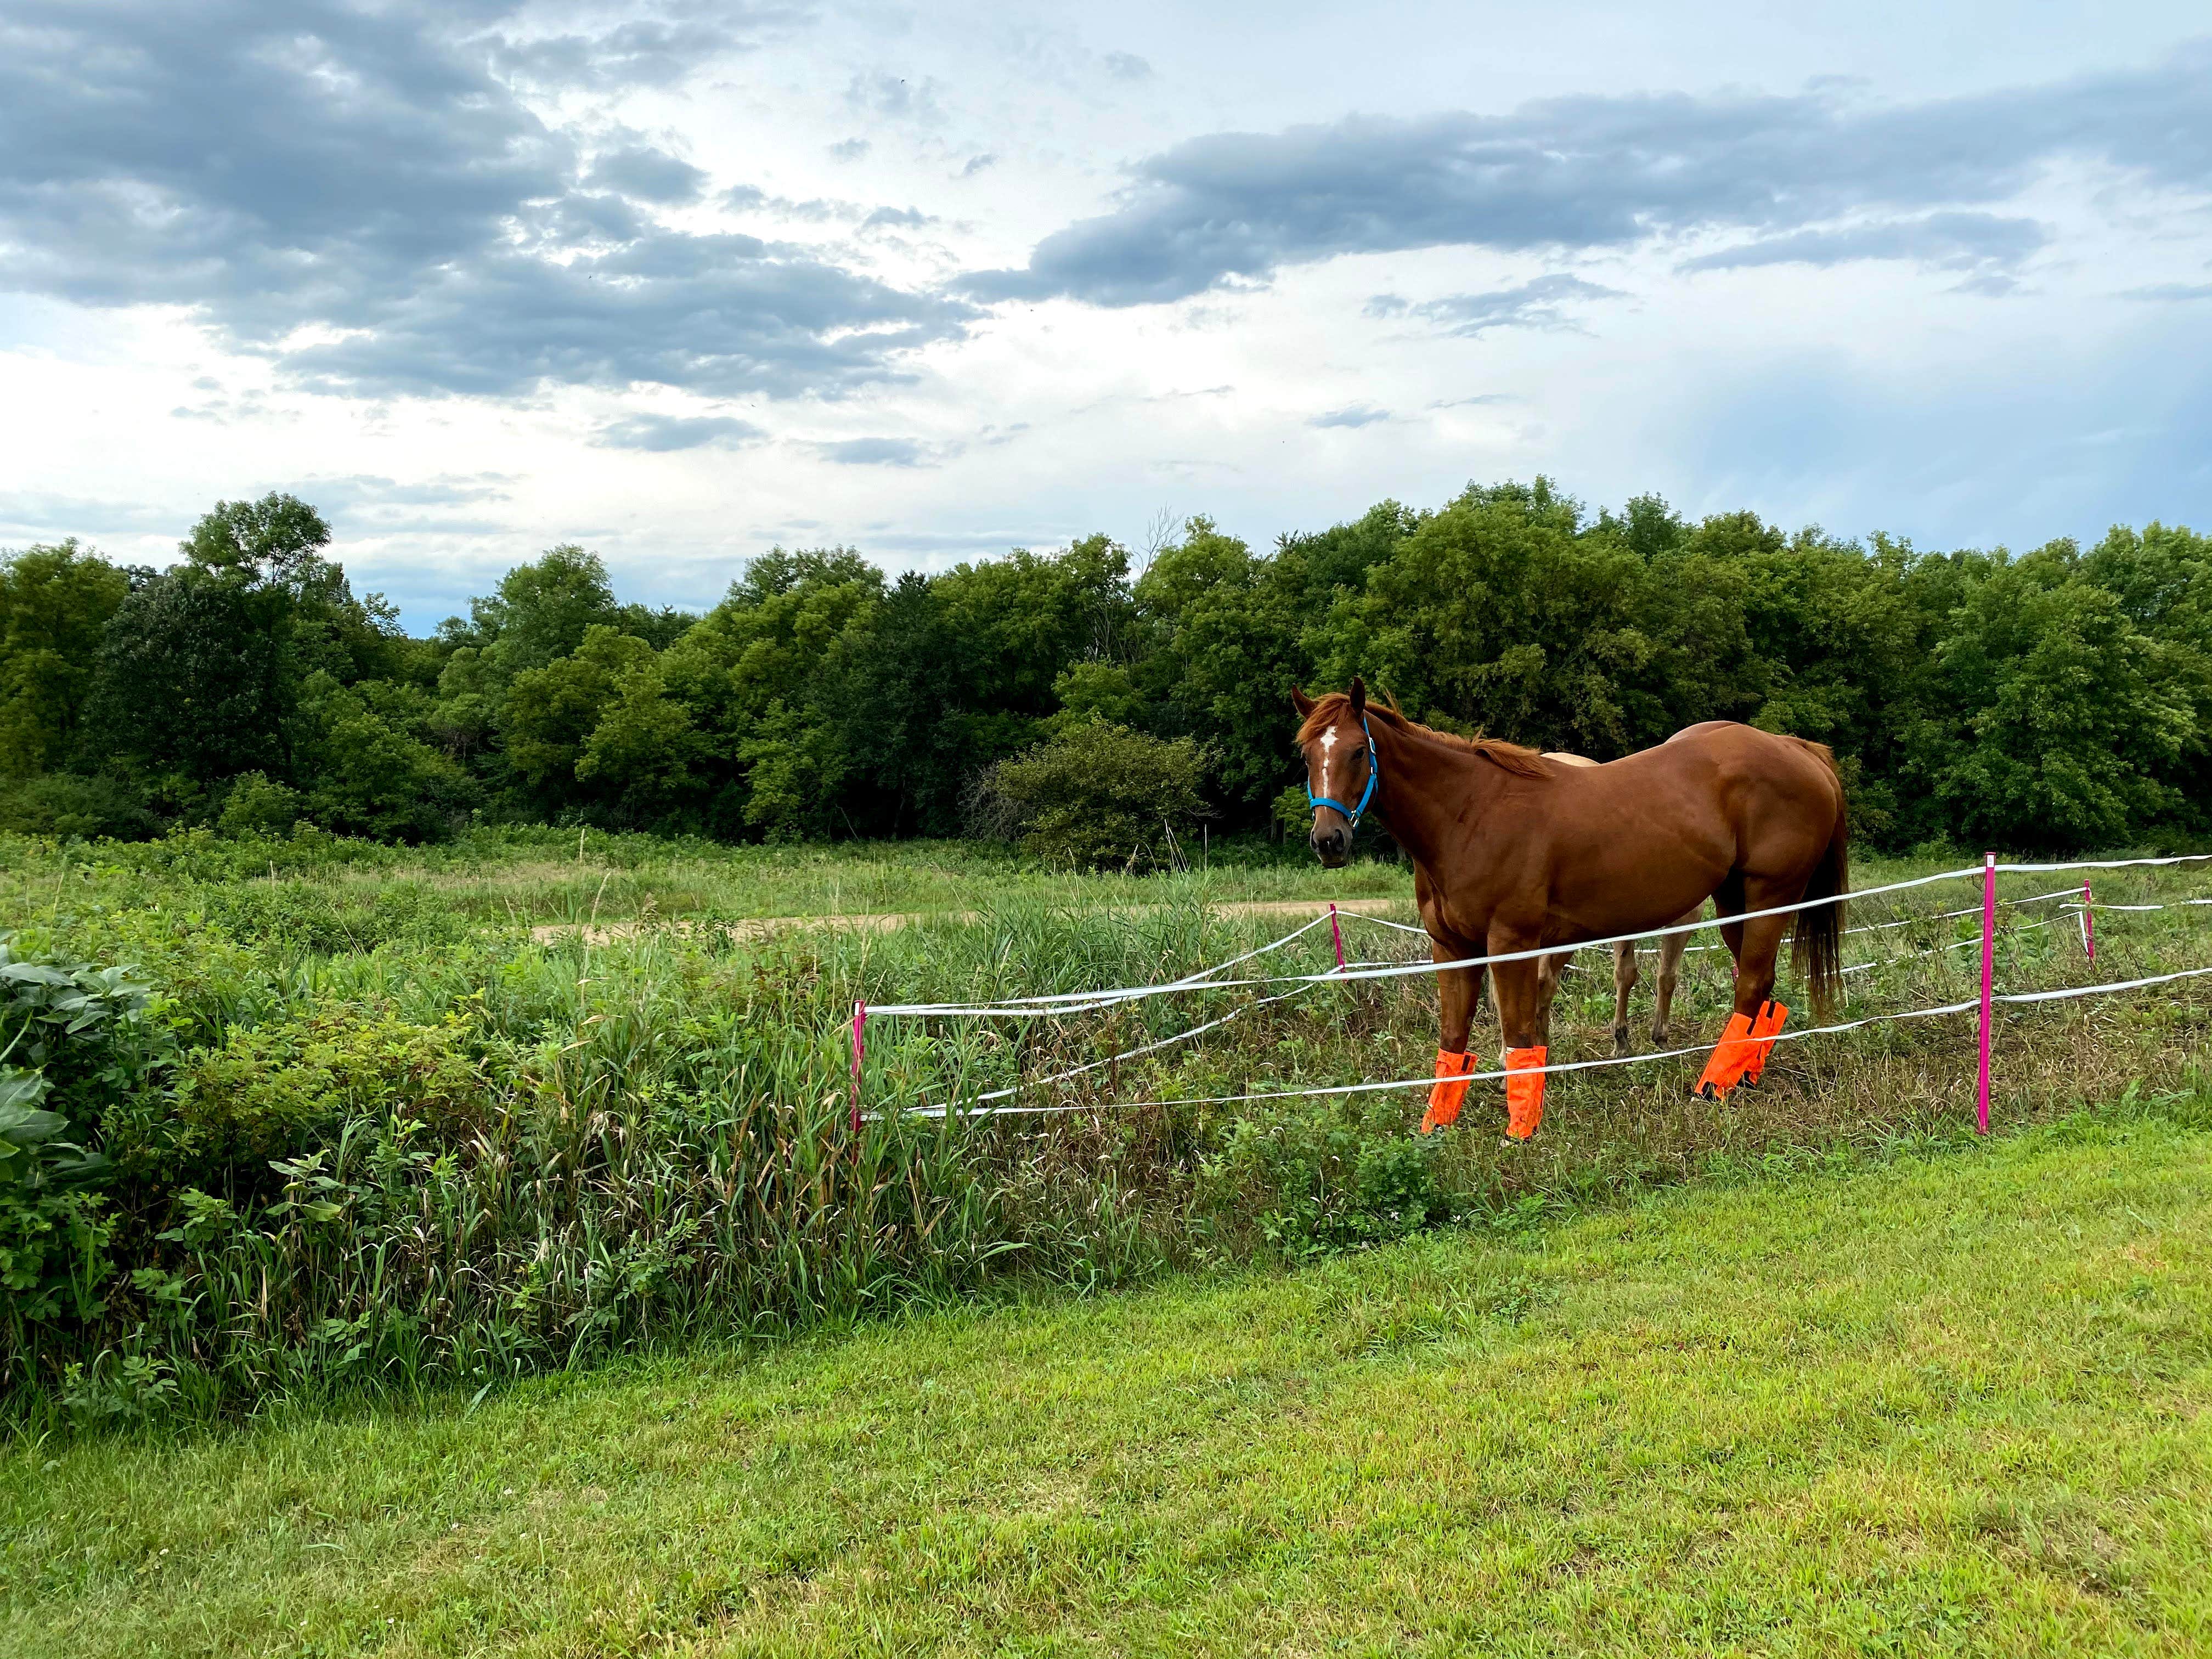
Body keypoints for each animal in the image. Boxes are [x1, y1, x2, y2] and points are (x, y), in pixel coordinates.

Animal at [1291, 685, 1849, 1141]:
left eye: (1357, 751)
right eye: (1307, 755)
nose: (1328, 841)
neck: (1469, 814)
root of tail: (1797, 749)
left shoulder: (1512, 943)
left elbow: (1518, 1034)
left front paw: (1522, 1128)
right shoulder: (1452, 948)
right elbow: (1453, 1040)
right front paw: (1438, 1124)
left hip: (1770, 895)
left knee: (1751, 984)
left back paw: (1713, 1086)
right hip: (1735, 903)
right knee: (1762, 989)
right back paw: (1744, 1076)